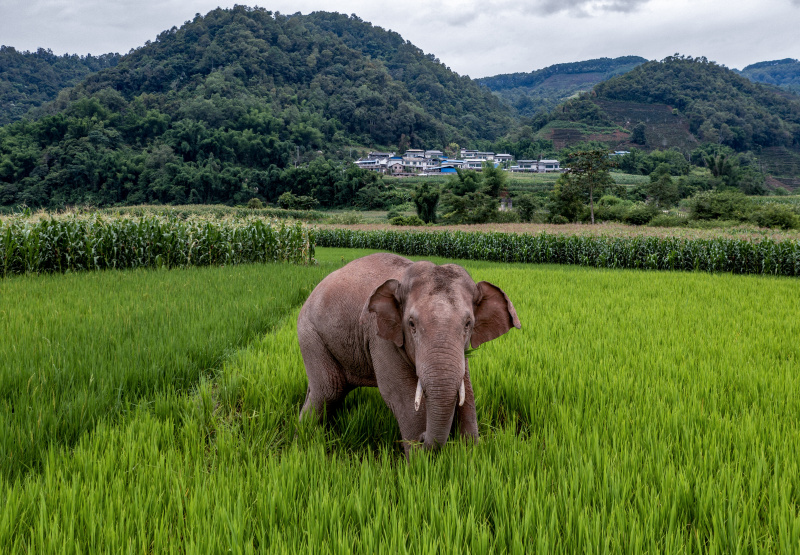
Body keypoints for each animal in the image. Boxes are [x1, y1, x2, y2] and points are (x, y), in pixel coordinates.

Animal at [297, 252, 520, 454]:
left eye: (468, 324)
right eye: (411, 324)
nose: (422, 439)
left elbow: (467, 393)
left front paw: (470, 454)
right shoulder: (379, 336)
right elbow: (401, 395)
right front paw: (419, 463)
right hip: (310, 334)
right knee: (328, 390)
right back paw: (304, 437)